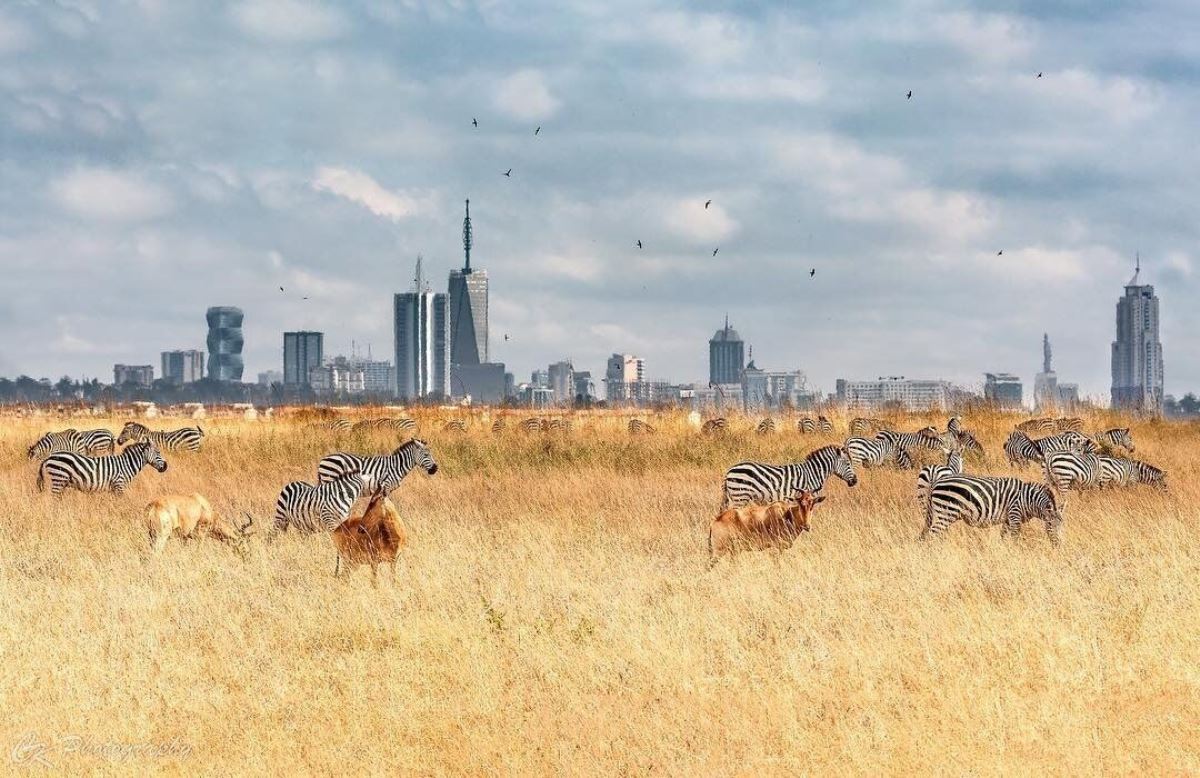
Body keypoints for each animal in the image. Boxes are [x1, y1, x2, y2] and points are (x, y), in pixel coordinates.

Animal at [36, 441, 168, 494]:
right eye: (158, 452)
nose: (166, 467)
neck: (127, 464)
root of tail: (49, 457)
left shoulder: (114, 488)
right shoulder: (119, 485)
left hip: (60, 482)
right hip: (59, 478)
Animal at [921, 470, 1065, 545]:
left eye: (1062, 526)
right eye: (1050, 525)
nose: (1058, 546)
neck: (1028, 499)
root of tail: (935, 483)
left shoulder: (1008, 519)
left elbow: (1003, 537)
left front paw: (1004, 551)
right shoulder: (1015, 515)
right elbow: (1015, 539)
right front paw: (1017, 554)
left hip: (943, 515)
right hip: (946, 512)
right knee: (932, 534)